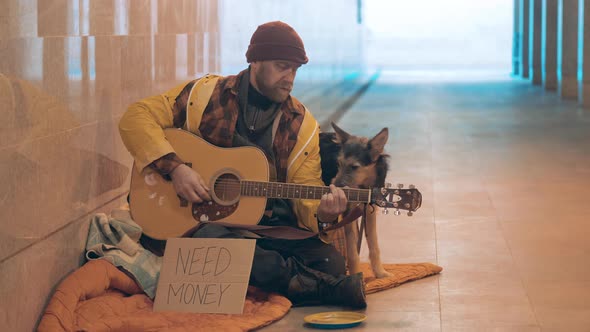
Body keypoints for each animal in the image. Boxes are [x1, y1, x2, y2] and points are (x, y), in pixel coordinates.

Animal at [320, 123, 394, 278]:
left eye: (354, 167)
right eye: (338, 163)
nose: (334, 188)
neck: (363, 186)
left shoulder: (370, 210)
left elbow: (374, 245)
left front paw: (380, 273)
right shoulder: (347, 211)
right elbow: (352, 253)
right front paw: (356, 276)